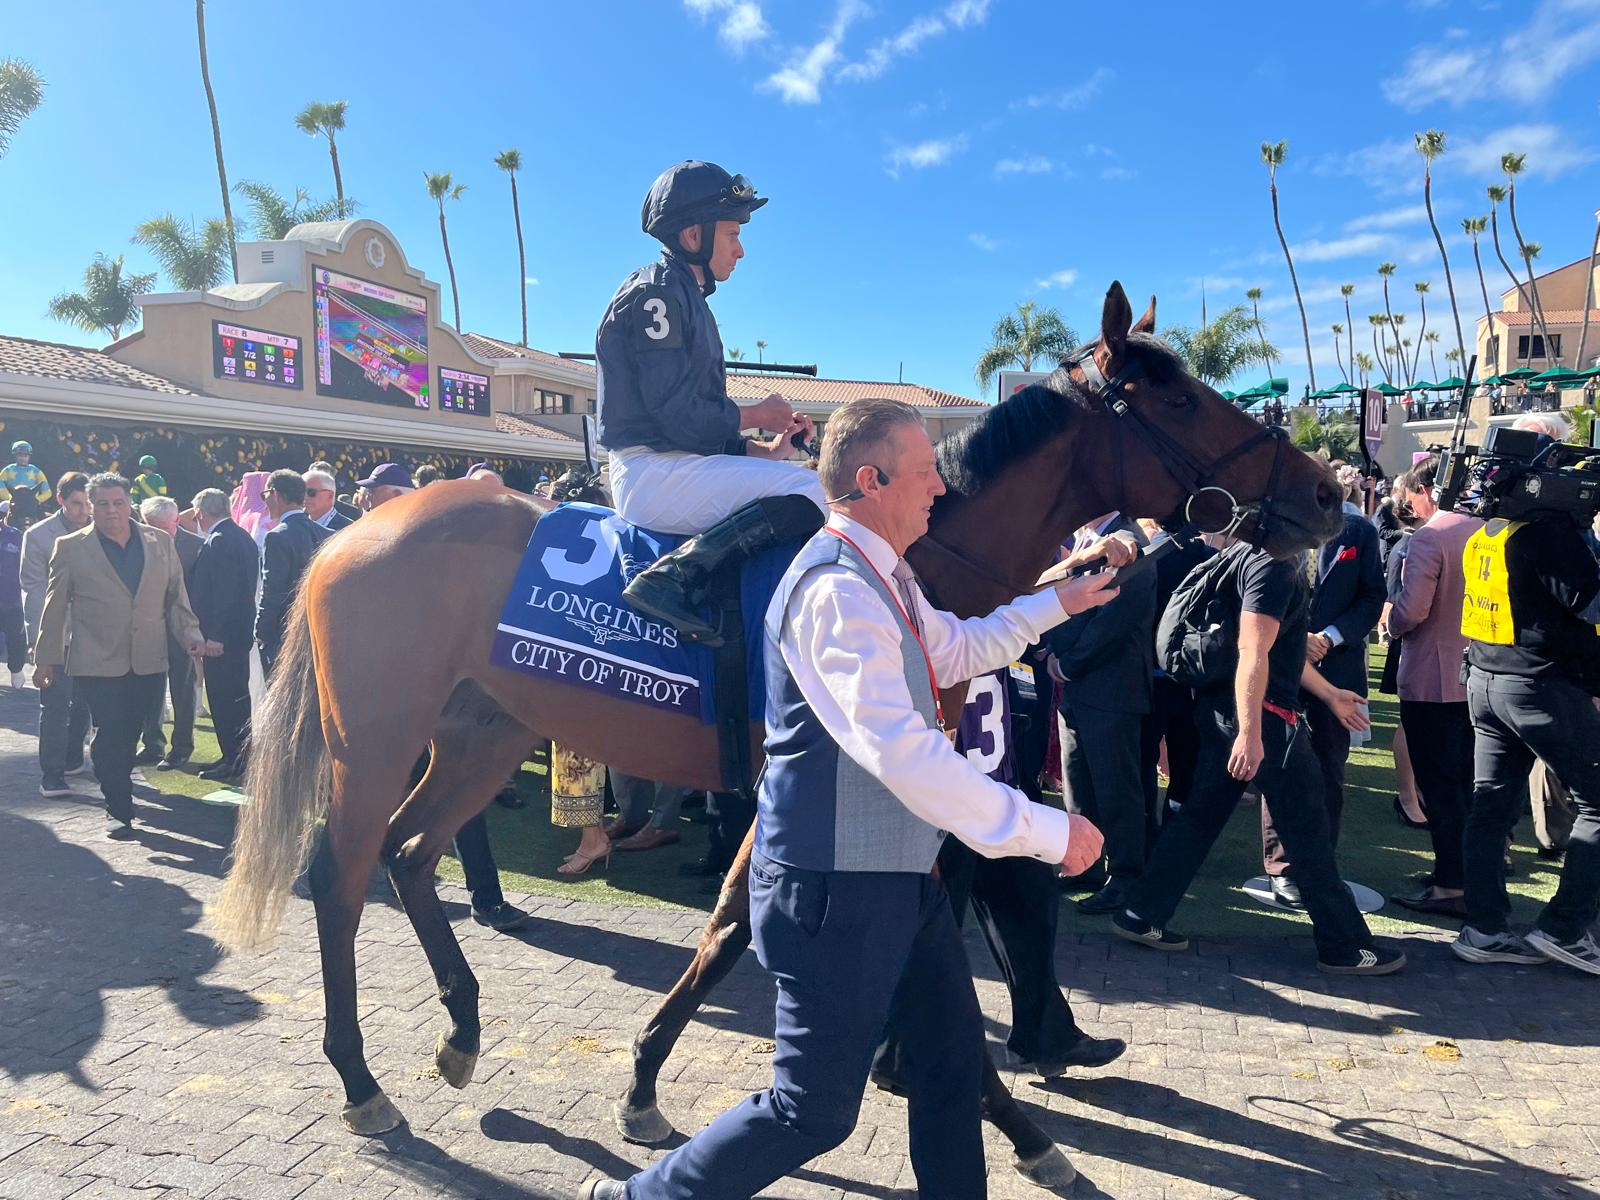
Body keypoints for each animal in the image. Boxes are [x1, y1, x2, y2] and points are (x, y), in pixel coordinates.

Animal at [209, 284, 1337, 1184]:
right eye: (1180, 397)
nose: (1326, 494)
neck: (916, 557)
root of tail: (353, 531)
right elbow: (765, 934)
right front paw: (1016, 1127)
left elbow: (737, 932)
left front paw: (655, 1081)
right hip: (377, 739)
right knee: (341, 872)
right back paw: (362, 1081)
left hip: (483, 732)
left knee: (410, 854)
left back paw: (459, 1029)